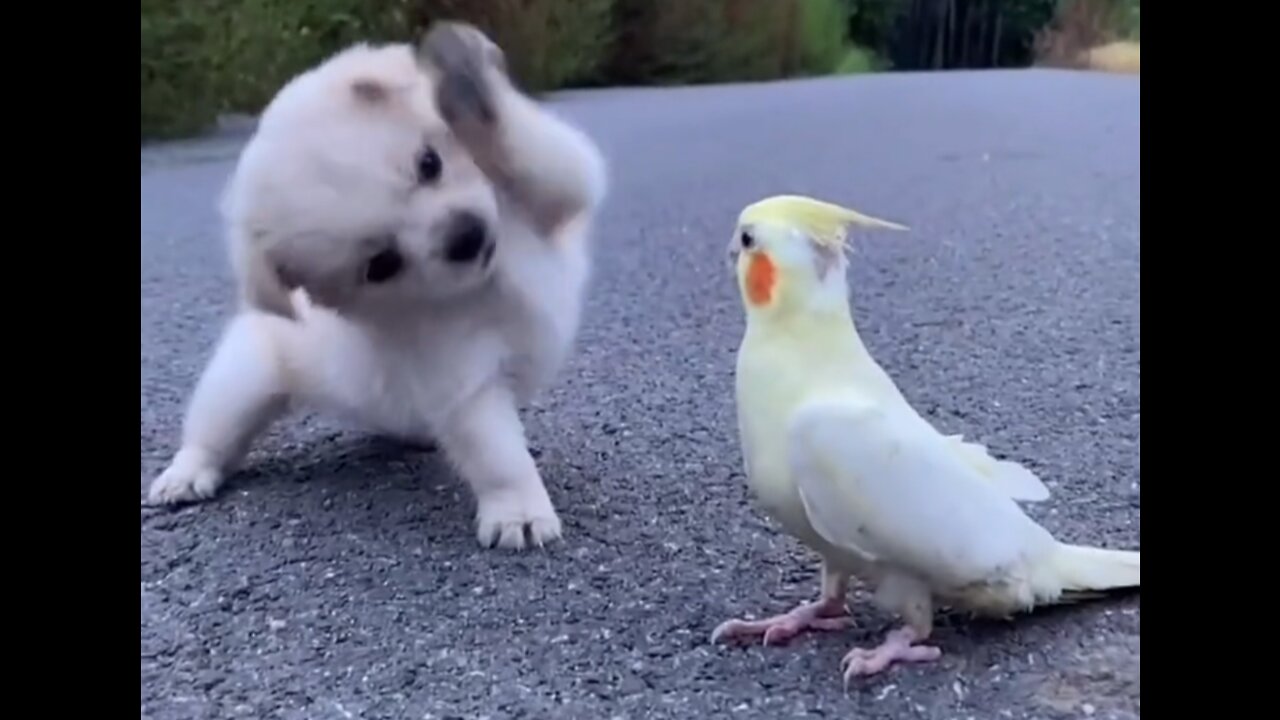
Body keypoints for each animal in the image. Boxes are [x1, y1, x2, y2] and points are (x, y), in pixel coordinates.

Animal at [147, 23, 606, 548]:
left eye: (429, 163)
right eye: (382, 264)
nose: (466, 238)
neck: (489, 279)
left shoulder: (551, 192)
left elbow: (536, 154)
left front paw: (470, 86)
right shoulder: (467, 386)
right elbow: (502, 459)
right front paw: (520, 513)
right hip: (242, 381)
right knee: (210, 436)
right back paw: (185, 476)